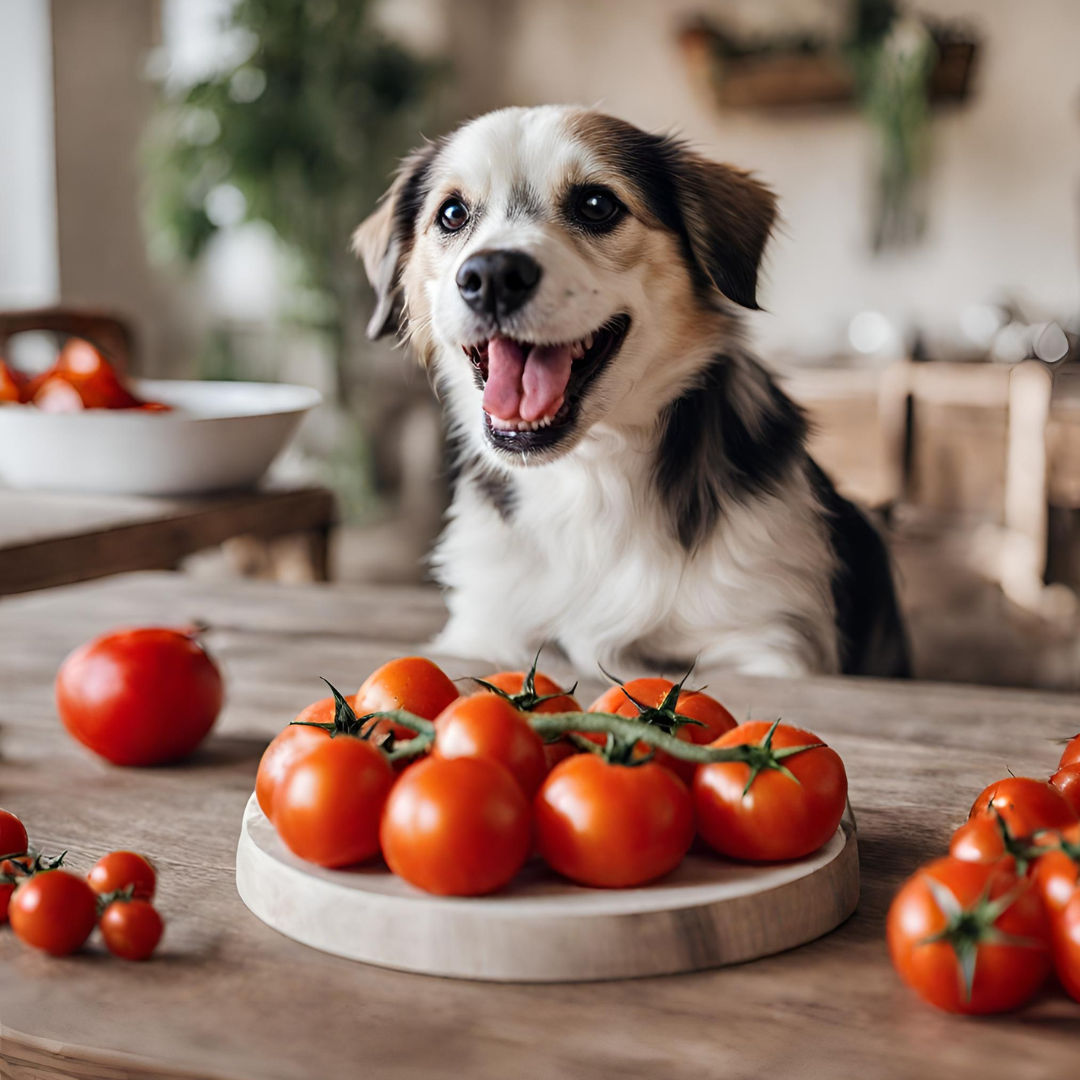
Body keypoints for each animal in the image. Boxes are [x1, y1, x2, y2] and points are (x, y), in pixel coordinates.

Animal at [354, 101, 911, 673]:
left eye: (597, 205)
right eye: (452, 214)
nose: (491, 276)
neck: (591, 471)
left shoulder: (766, 640)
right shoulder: (486, 632)